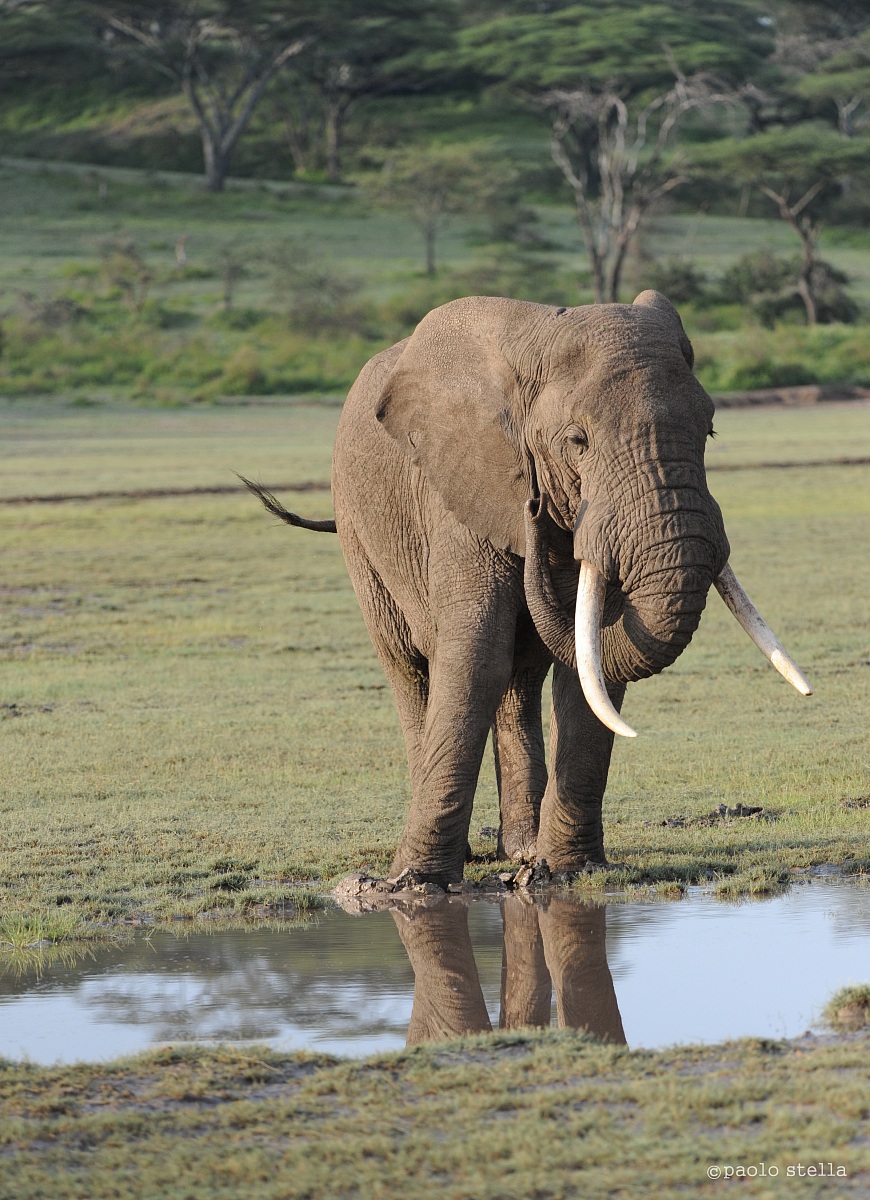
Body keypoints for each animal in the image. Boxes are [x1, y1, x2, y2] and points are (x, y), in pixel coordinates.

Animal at [243, 290, 812, 887]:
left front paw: (566, 871)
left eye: (709, 432)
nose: (534, 506)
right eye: (577, 441)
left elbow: (590, 666)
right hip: (359, 533)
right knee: (409, 665)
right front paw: (413, 883)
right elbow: (475, 659)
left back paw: (519, 849)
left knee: (519, 680)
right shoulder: (459, 493)